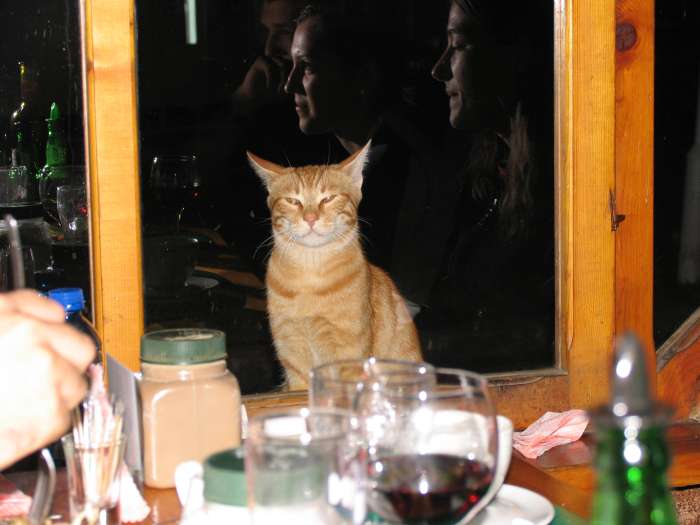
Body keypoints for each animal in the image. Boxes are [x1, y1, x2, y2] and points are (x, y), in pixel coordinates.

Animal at [247, 142, 423, 390]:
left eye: (328, 198)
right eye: (293, 201)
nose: (310, 218)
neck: (309, 279)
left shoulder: (350, 355)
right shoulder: (292, 355)